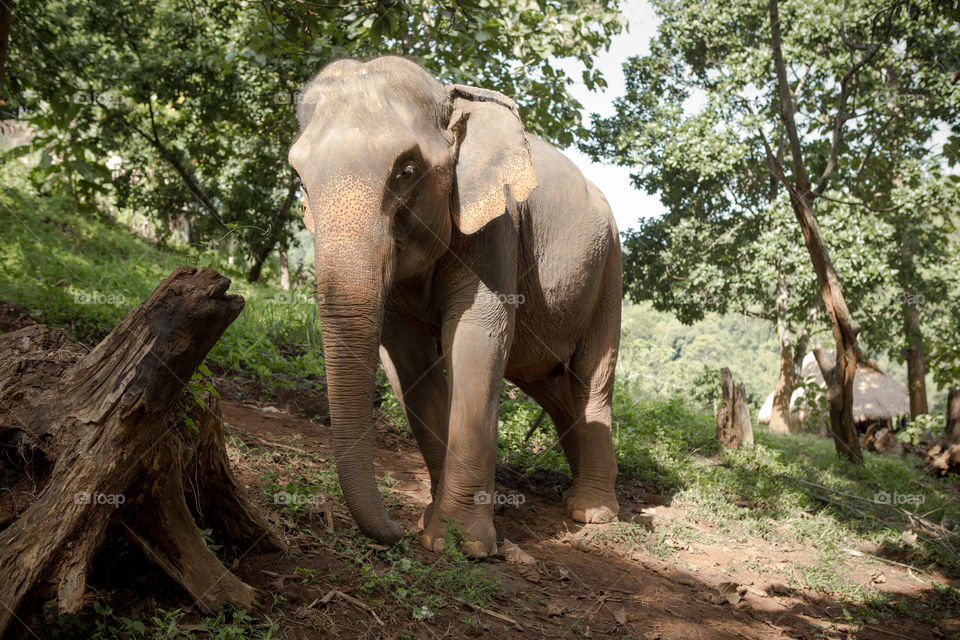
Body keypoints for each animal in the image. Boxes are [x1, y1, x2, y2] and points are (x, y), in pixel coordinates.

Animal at [286, 57, 624, 556]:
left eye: (406, 170)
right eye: (299, 178)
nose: (394, 532)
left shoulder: (498, 225)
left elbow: (475, 338)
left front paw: (460, 543)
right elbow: (407, 359)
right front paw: (432, 522)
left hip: (610, 273)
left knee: (592, 378)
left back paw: (591, 511)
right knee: (551, 385)